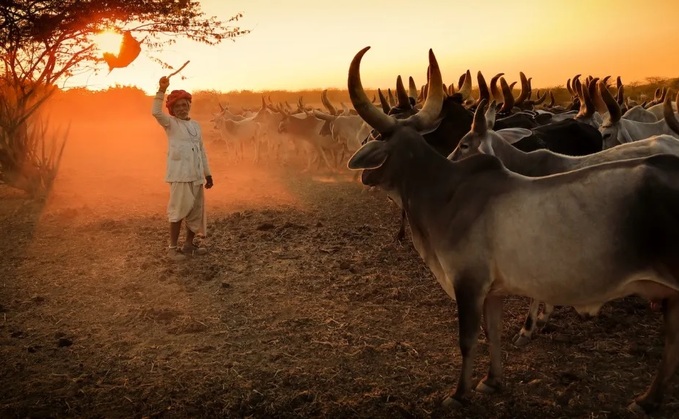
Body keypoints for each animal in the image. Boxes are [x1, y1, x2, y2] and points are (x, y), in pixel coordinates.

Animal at [348, 45, 676, 414]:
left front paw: (459, 394)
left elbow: (467, 339)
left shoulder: (469, 284)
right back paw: (648, 400)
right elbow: (492, 333)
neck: (446, 189)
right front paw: (492, 381)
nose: (363, 174)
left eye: (379, 138)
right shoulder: (493, 292)